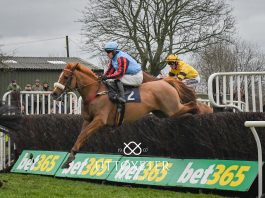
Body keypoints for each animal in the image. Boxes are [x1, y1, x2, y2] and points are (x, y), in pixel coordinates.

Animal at [51, 63, 196, 167]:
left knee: (193, 105)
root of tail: (165, 81)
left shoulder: (100, 120)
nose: (54, 93)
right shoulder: (87, 120)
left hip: (172, 108)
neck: (96, 93)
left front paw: (70, 157)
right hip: (163, 113)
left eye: (65, 77)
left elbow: (84, 134)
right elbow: (81, 135)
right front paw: (69, 158)